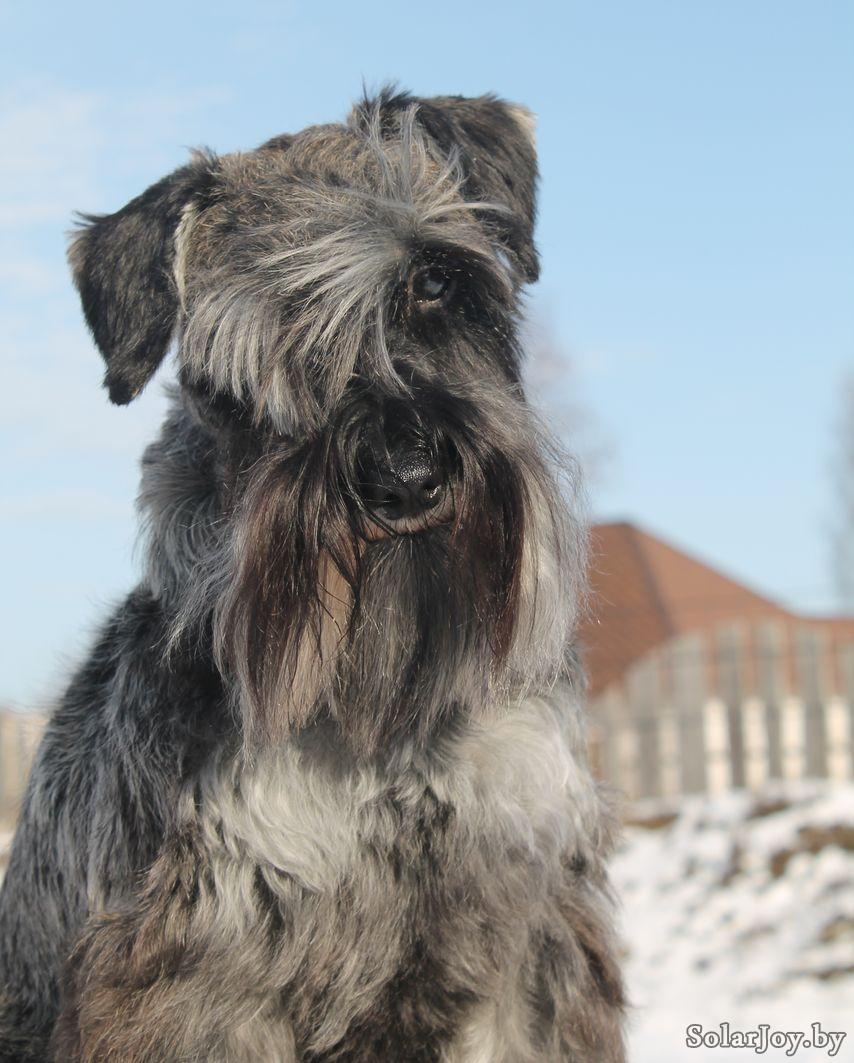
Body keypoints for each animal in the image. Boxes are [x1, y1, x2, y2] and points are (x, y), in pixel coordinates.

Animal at [0, 90, 626, 1061]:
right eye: (250, 353)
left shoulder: (527, 936)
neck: (387, 726)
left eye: (434, 280)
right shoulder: (203, 970)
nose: (405, 475)